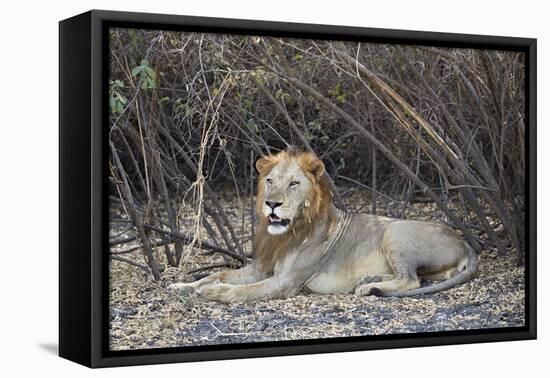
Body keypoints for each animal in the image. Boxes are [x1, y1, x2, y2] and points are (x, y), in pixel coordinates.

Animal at [170, 148, 480, 304]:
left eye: (293, 184)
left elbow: (242, 291)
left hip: (395, 232)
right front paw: (183, 285)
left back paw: (368, 288)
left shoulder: (286, 282)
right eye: (269, 181)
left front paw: (213, 293)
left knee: (412, 280)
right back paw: (369, 280)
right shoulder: (260, 268)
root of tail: (465, 242)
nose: (272, 204)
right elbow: (217, 273)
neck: (286, 235)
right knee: (426, 276)